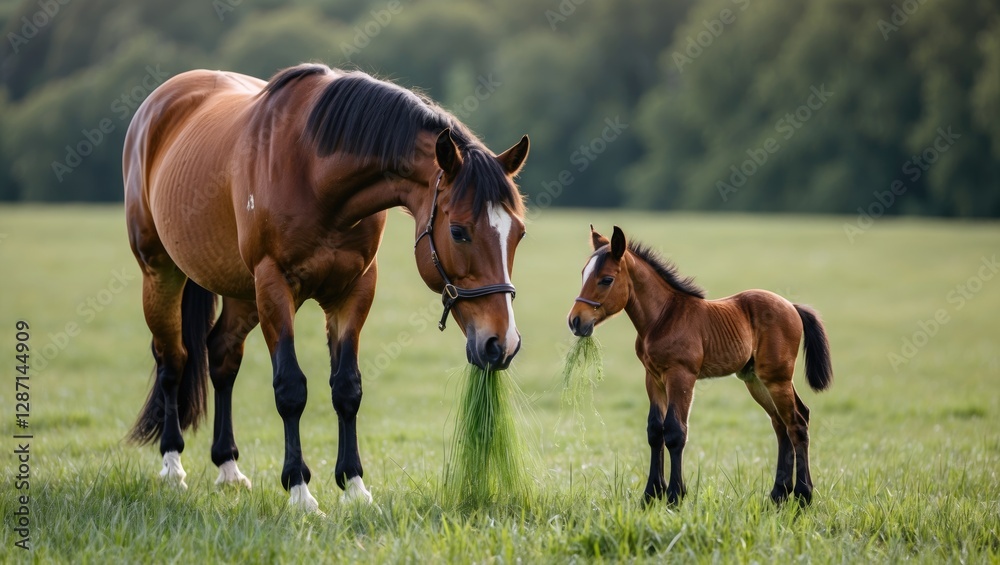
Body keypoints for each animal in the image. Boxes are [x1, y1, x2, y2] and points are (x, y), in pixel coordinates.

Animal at [122, 63, 530, 512]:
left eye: (519, 233)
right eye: (458, 231)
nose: (502, 343)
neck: (314, 173)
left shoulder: (353, 291)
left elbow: (347, 387)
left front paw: (354, 486)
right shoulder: (273, 285)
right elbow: (290, 388)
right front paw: (299, 490)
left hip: (241, 292)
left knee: (222, 355)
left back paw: (228, 466)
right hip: (161, 273)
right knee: (173, 360)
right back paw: (172, 465)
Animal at [567, 226, 832, 506]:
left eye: (606, 279)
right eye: (583, 273)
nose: (575, 321)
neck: (662, 317)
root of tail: (792, 306)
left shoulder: (682, 375)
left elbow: (675, 431)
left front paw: (675, 495)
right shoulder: (653, 378)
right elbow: (655, 430)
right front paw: (652, 493)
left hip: (777, 378)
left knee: (796, 423)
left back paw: (803, 495)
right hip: (756, 380)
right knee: (782, 424)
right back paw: (778, 494)